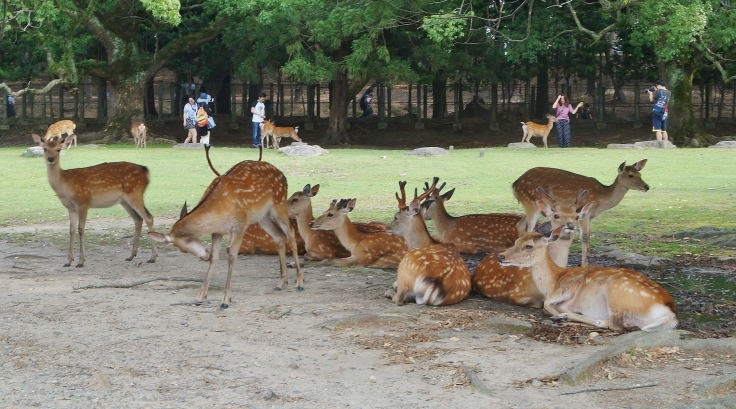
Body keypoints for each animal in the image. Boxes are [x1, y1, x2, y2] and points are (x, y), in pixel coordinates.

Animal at [32, 132, 158, 266]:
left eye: (58, 149)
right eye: (45, 149)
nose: (51, 159)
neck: (65, 185)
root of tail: (146, 171)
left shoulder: (83, 202)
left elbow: (81, 229)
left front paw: (81, 261)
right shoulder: (71, 207)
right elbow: (71, 230)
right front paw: (68, 261)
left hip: (135, 194)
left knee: (149, 217)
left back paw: (153, 257)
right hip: (125, 201)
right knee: (138, 219)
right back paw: (131, 256)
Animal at [148, 159, 304, 310]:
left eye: (184, 247)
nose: (204, 256)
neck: (218, 210)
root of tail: (283, 175)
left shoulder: (239, 225)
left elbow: (232, 257)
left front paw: (225, 300)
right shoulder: (217, 231)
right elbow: (214, 258)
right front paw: (200, 296)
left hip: (279, 205)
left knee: (290, 234)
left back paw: (299, 283)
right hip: (262, 216)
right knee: (279, 236)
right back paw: (281, 283)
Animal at [498, 223, 676, 332]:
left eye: (529, 246)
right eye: (516, 240)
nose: (501, 256)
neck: (554, 281)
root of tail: (670, 314)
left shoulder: (568, 287)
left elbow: (546, 303)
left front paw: (556, 313)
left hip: (616, 293)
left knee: (612, 323)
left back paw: (563, 317)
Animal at [512, 158, 648, 266]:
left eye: (640, 173)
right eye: (630, 175)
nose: (647, 186)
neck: (601, 200)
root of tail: (515, 185)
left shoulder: (590, 217)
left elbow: (589, 235)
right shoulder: (584, 214)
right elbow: (584, 237)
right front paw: (584, 264)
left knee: (520, 224)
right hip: (531, 203)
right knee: (528, 230)